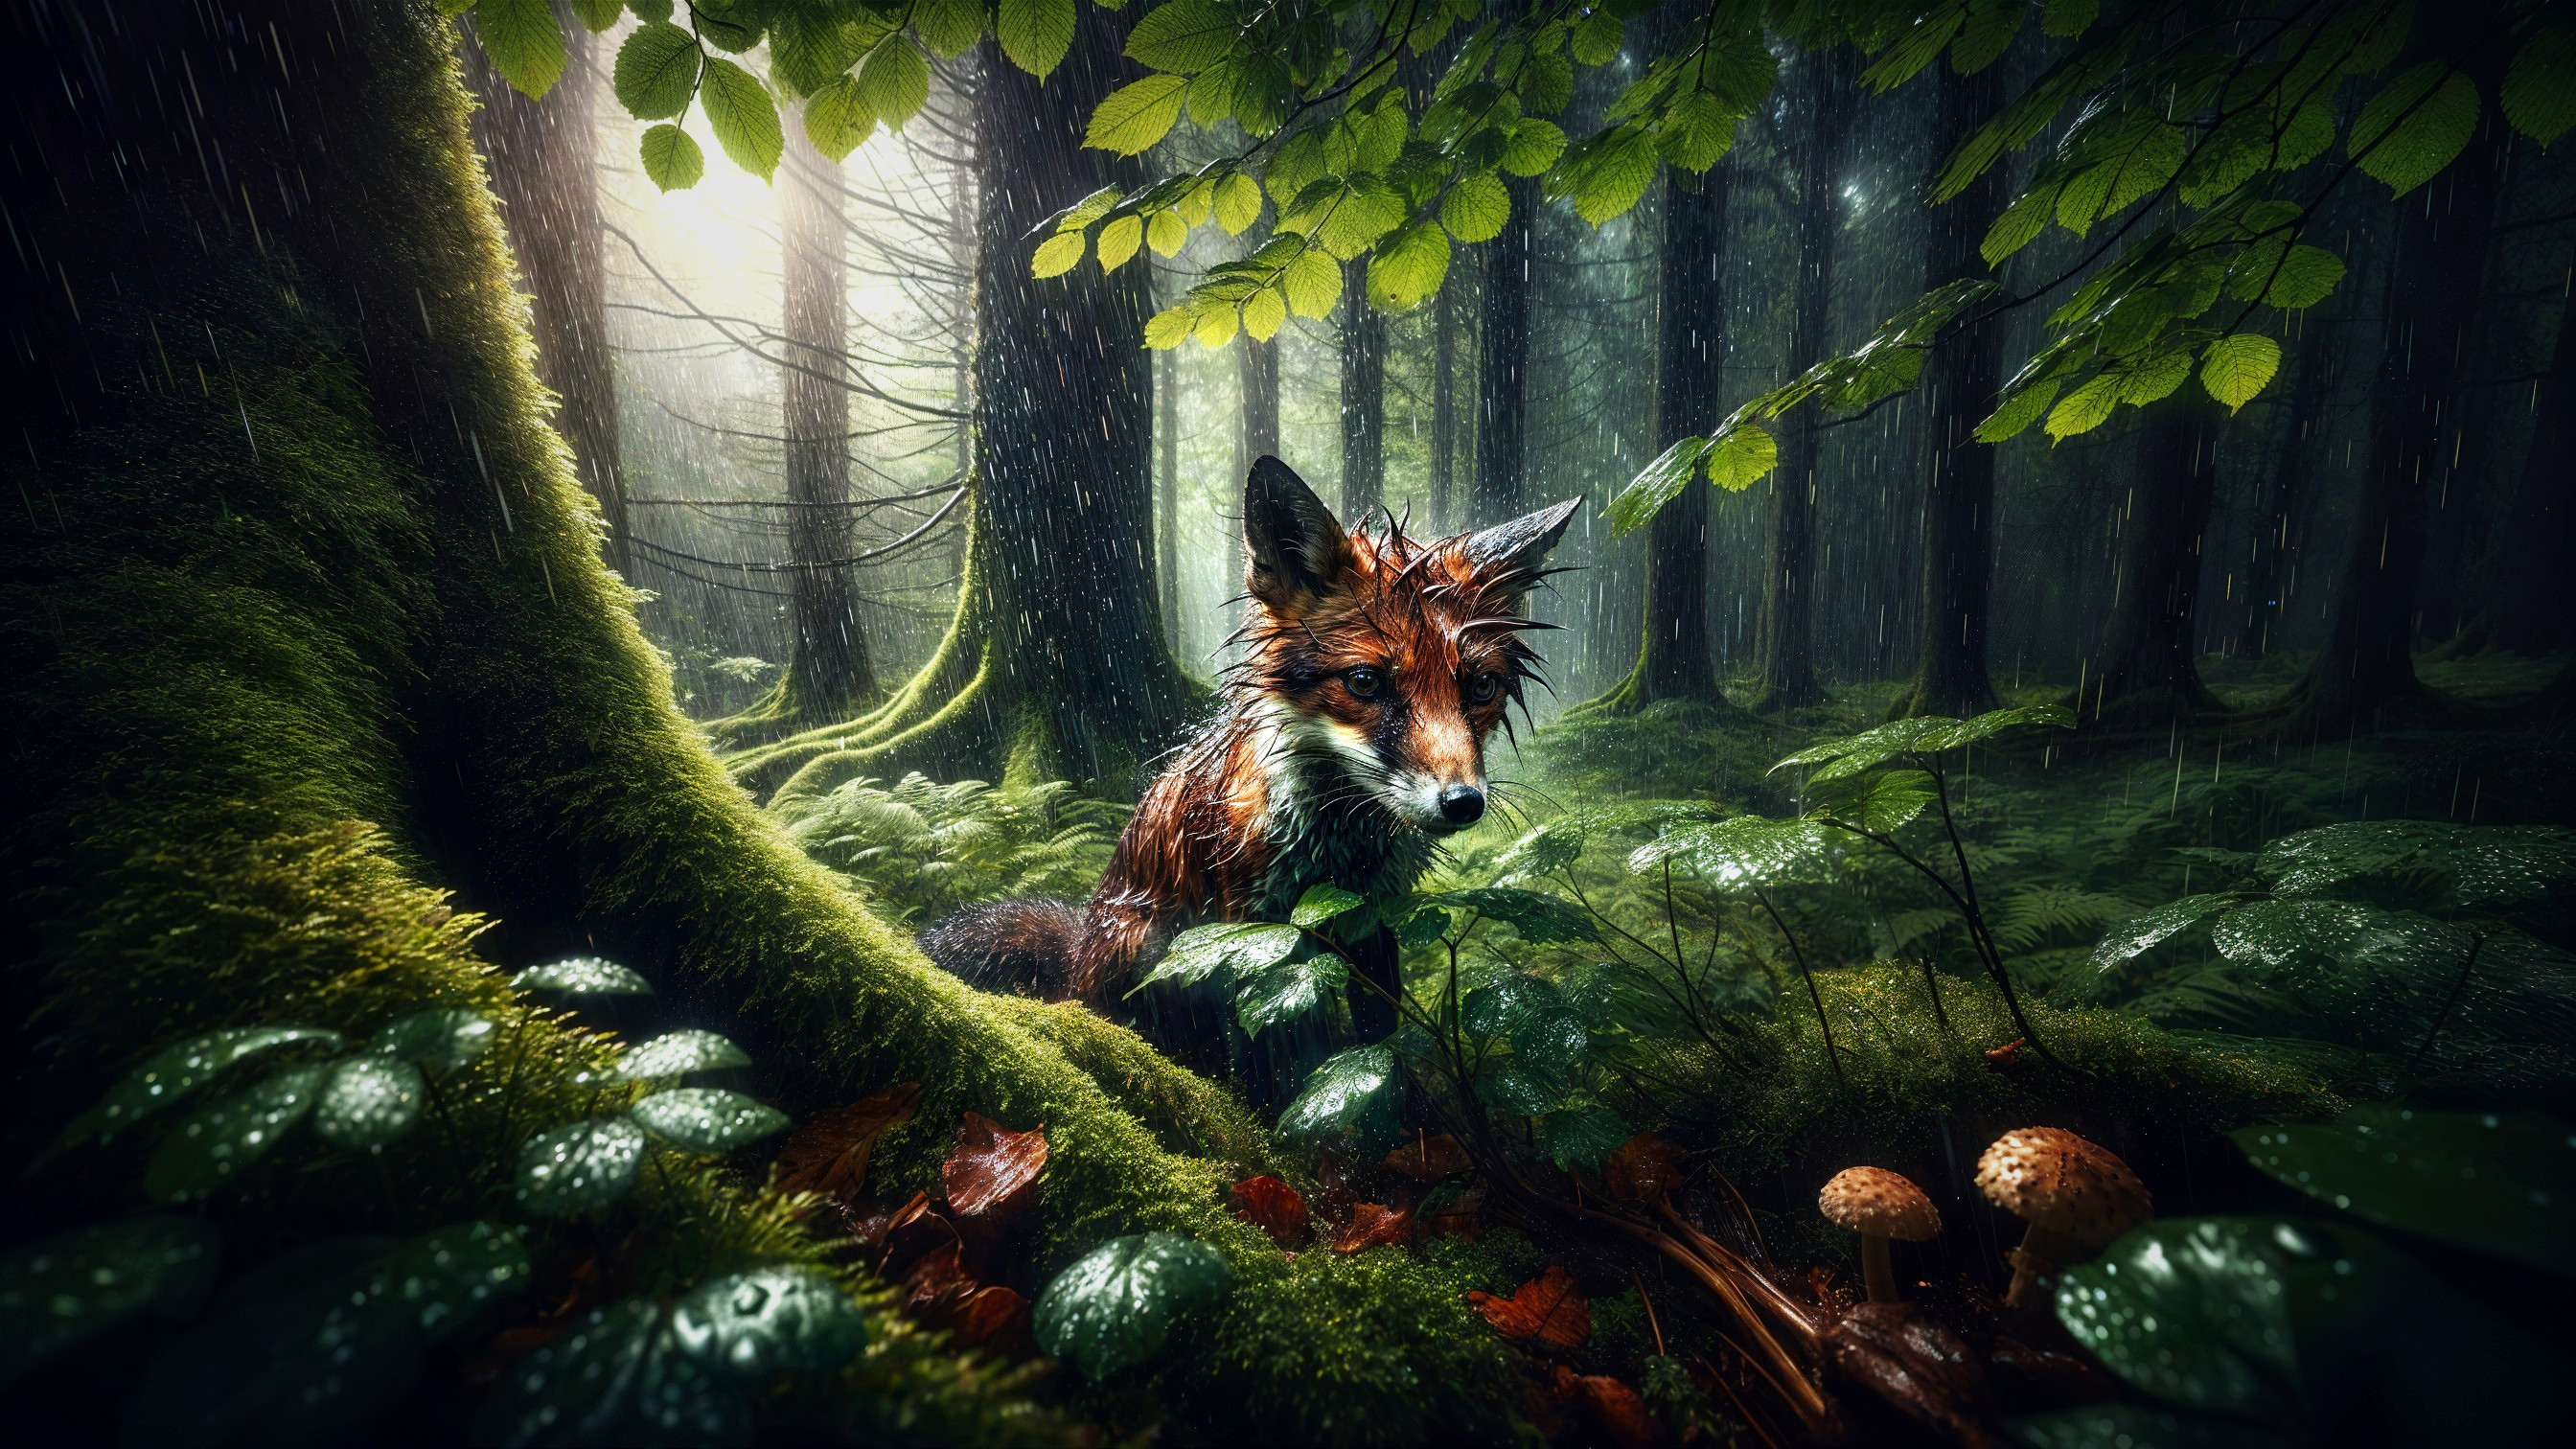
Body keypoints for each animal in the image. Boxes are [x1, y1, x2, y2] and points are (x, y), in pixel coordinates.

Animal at [920, 456, 1580, 1077]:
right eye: (1365, 682)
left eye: (1481, 687)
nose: (1463, 802)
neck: (1339, 849)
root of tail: (1081, 940)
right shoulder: (1251, 935)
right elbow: (1269, 1061)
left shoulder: (1371, 923)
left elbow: (1379, 1039)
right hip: (1151, 949)